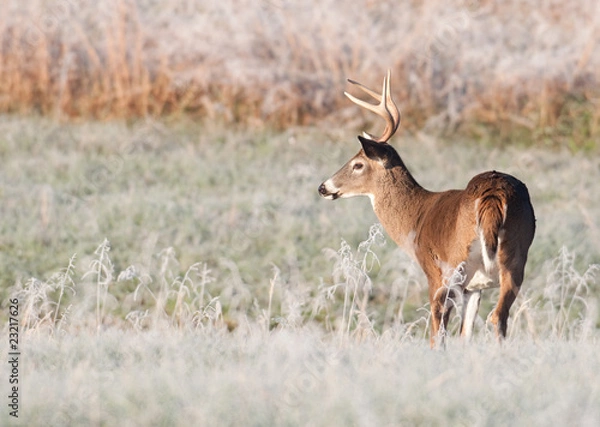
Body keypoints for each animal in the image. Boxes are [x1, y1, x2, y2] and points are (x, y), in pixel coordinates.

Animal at [318, 69, 536, 344]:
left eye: (358, 164)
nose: (323, 187)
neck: (417, 217)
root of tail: (494, 193)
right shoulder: (474, 288)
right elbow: (465, 335)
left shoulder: (433, 273)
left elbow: (438, 333)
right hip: (515, 259)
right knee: (499, 316)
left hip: (454, 267)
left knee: (445, 327)